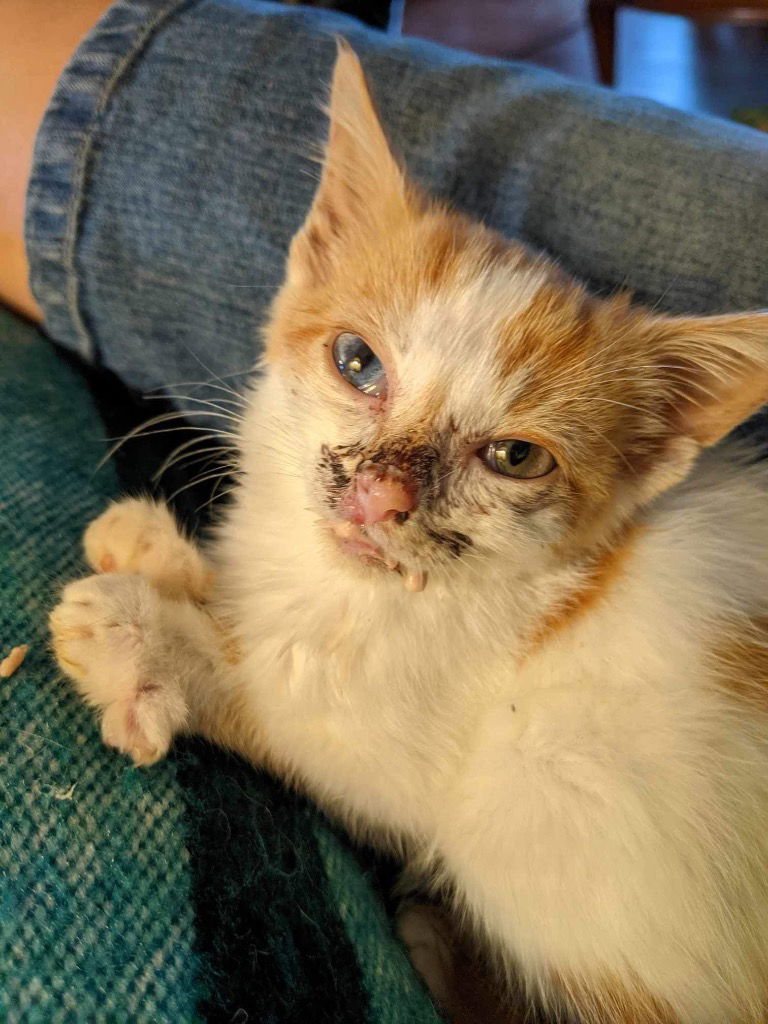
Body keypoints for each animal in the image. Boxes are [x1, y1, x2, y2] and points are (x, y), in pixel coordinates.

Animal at [49, 41, 768, 1024]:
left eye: (515, 456)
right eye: (357, 362)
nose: (380, 497)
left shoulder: (426, 773)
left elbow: (288, 713)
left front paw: (143, 636)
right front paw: (164, 555)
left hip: (542, 818)